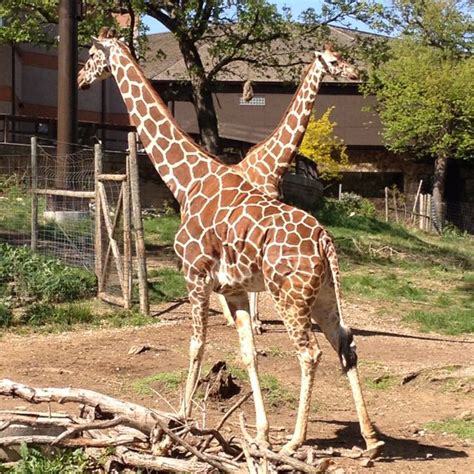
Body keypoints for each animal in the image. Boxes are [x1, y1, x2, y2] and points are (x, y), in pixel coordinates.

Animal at [76, 30, 384, 460]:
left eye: (90, 54)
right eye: (336, 60)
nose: (80, 80)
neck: (187, 181)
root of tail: (324, 240)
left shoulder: (194, 276)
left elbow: (196, 345)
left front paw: (181, 421)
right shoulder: (233, 289)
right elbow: (248, 353)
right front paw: (261, 434)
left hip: (290, 296)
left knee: (310, 353)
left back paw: (296, 440)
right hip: (323, 296)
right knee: (345, 343)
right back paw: (370, 440)